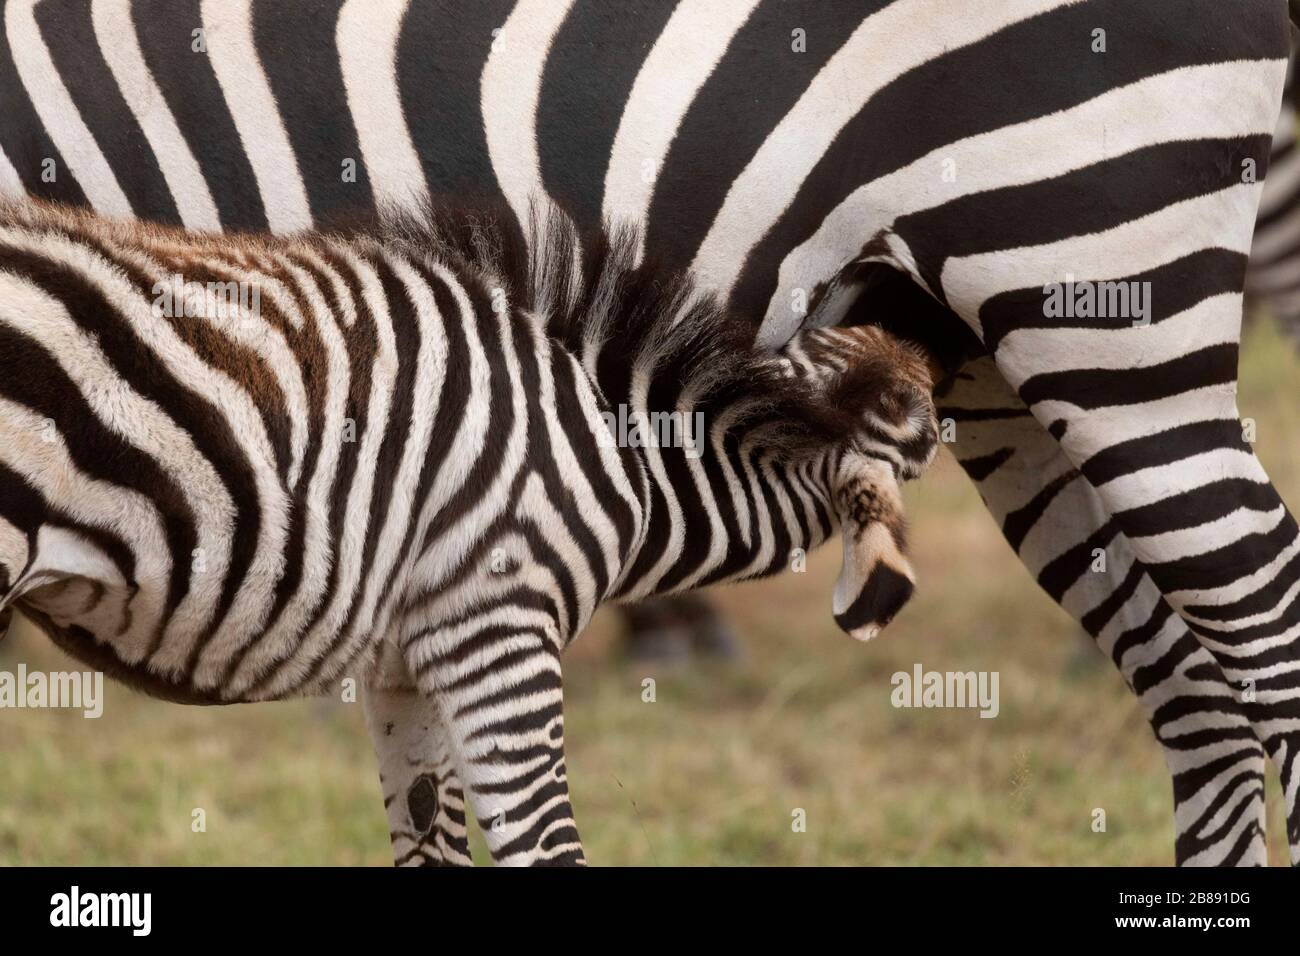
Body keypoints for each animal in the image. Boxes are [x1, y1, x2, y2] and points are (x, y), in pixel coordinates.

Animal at [0, 196, 940, 864]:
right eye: (910, 416)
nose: (916, 334)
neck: (627, 458)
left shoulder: (404, 667)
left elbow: (432, 846)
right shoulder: (499, 630)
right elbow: (547, 848)